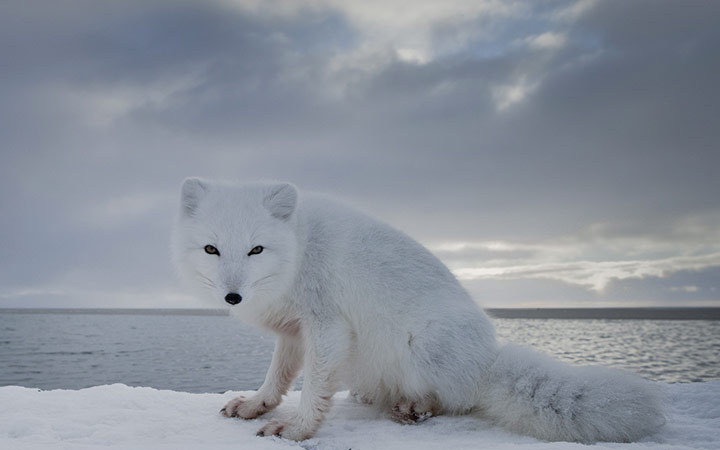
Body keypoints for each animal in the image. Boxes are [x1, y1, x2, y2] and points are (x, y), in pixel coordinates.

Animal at [171, 178, 665, 442]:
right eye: (212, 249)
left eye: (256, 249)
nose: (233, 297)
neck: (299, 250)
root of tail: (487, 360)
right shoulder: (294, 332)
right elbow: (277, 378)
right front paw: (257, 405)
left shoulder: (327, 327)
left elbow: (313, 388)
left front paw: (296, 430)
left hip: (424, 343)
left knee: (457, 400)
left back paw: (415, 407)